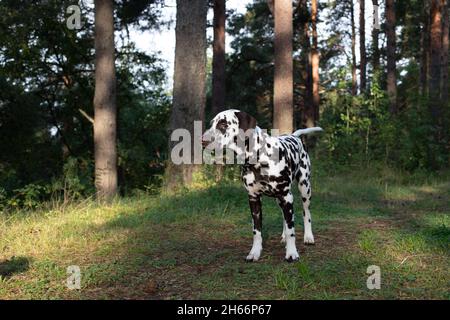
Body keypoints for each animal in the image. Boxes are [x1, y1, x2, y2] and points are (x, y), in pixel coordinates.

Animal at [202, 110, 322, 262]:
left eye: (223, 124)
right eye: (212, 123)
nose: (202, 140)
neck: (259, 159)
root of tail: (294, 136)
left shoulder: (286, 196)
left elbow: (291, 229)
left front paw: (292, 253)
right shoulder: (254, 199)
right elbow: (257, 231)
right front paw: (255, 252)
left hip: (304, 188)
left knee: (306, 213)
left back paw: (308, 237)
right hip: (280, 199)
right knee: (284, 216)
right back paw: (283, 236)